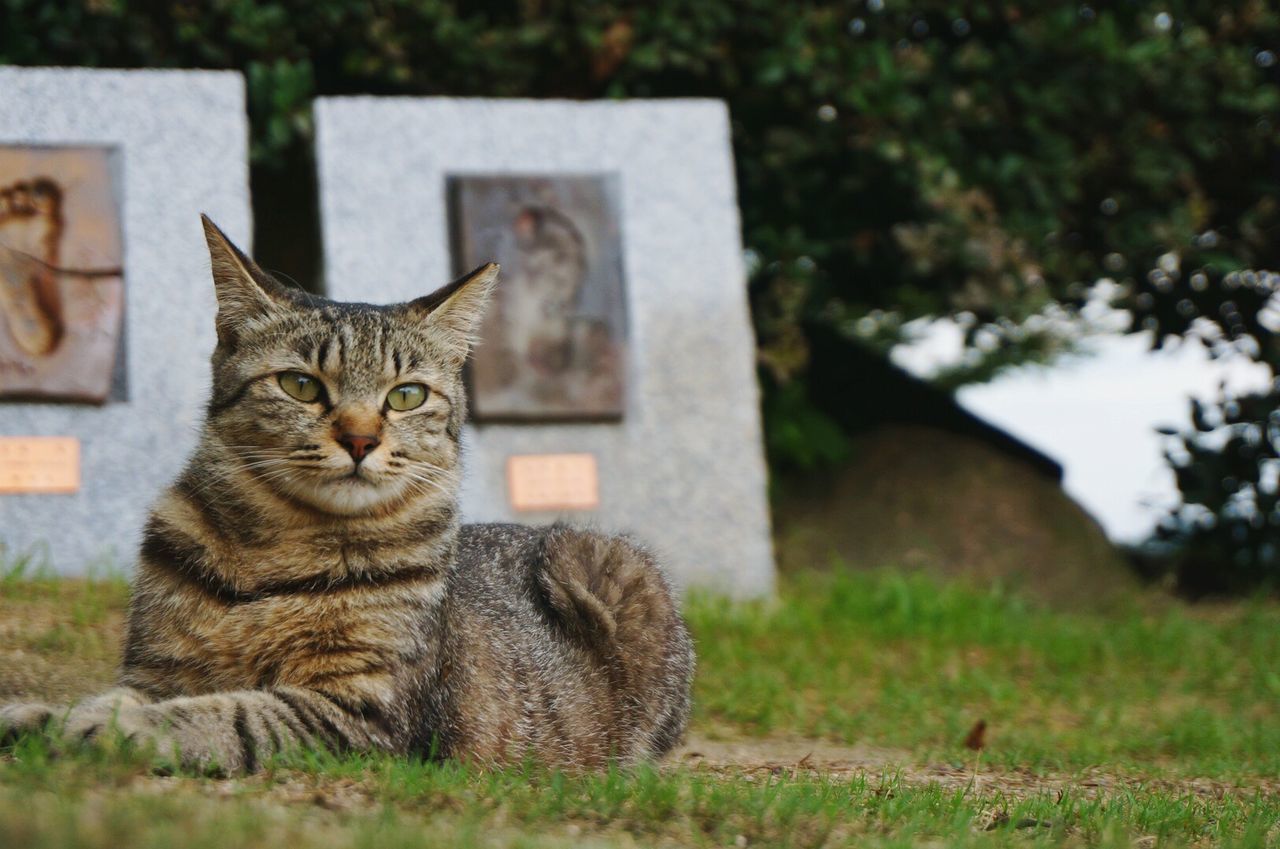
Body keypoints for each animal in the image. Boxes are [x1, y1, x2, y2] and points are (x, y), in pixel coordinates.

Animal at [0, 216, 696, 773]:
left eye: (406, 395)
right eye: (301, 385)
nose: (360, 439)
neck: (272, 554)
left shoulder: (364, 715)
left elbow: (229, 713)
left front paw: (111, 725)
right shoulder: (155, 669)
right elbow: (126, 695)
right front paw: (44, 715)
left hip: (602, 566)